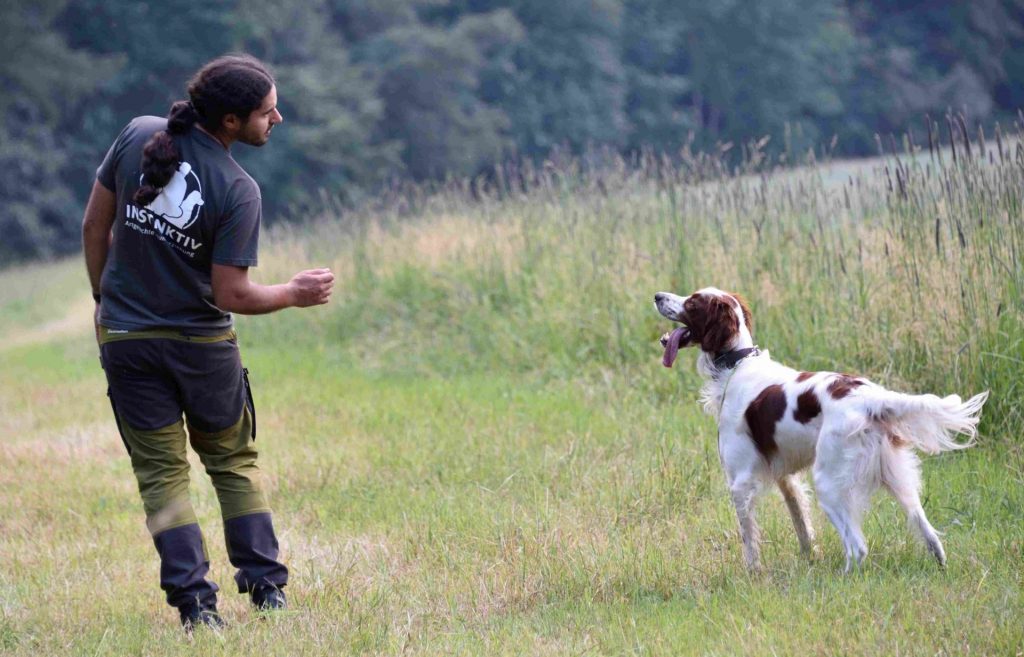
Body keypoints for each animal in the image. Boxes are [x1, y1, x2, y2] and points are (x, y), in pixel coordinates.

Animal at [655, 286, 983, 568]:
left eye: (692, 302)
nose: (658, 295)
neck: (735, 363)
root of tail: (871, 397)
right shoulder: (785, 476)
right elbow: (801, 522)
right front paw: (809, 558)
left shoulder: (740, 481)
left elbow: (749, 540)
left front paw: (753, 573)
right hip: (898, 479)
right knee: (928, 533)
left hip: (829, 483)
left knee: (857, 547)